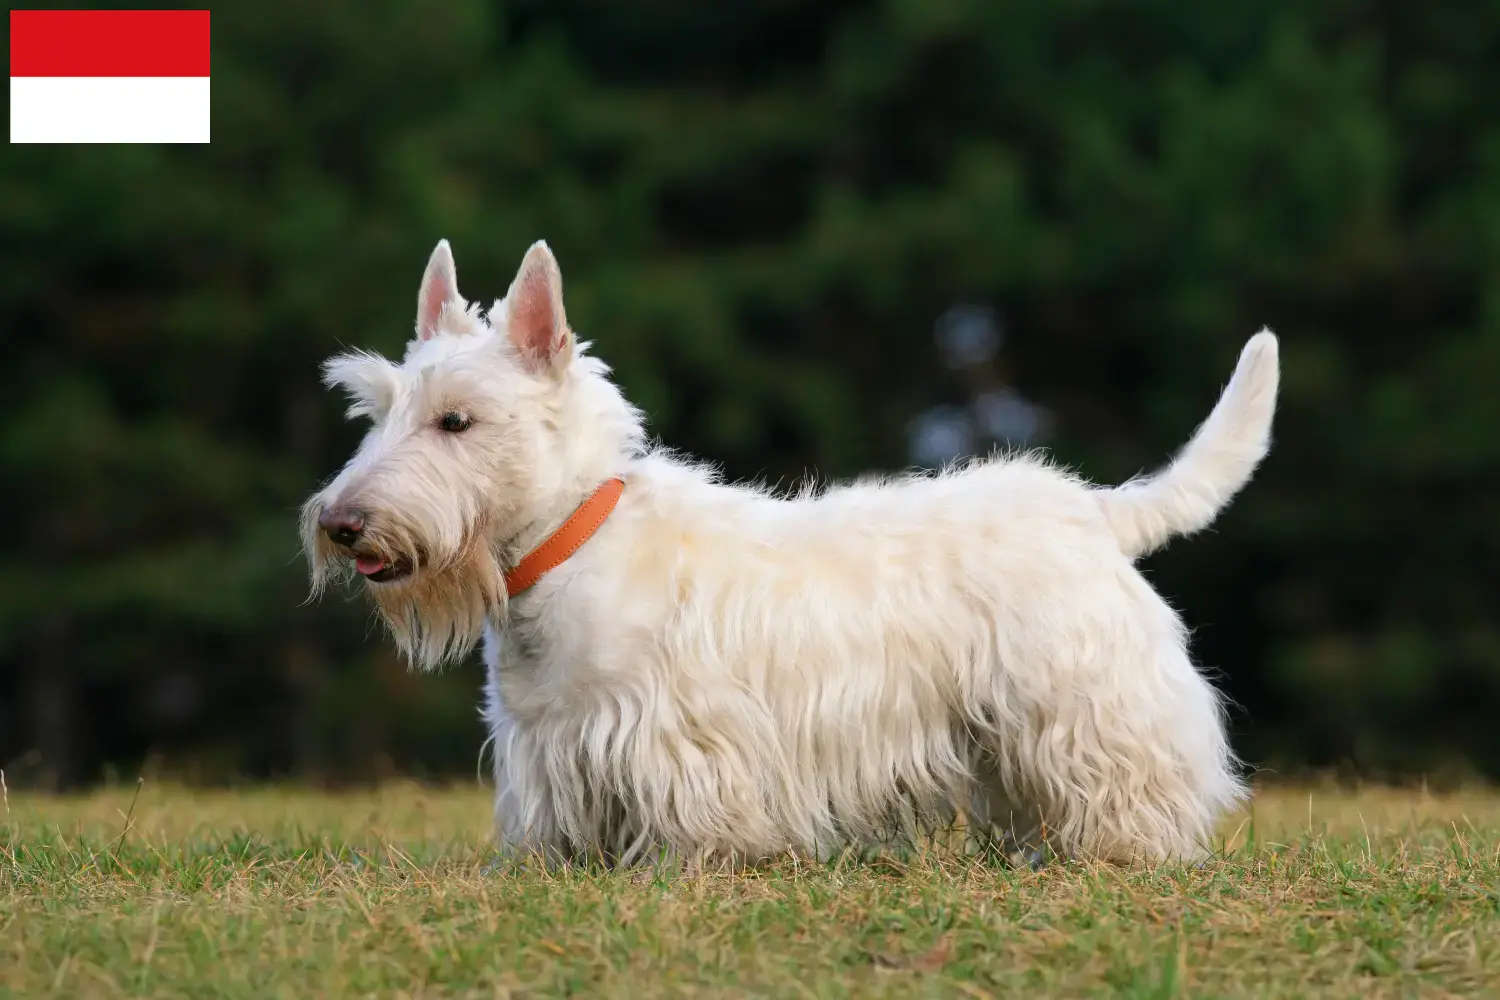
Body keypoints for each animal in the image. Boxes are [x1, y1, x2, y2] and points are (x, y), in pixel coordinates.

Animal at [301, 239, 1278, 869]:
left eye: (457, 420)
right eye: (375, 412)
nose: (342, 524)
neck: (568, 543)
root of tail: (1093, 511)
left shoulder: (677, 739)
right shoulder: (549, 747)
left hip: (1083, 706)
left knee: (1129, 780)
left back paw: (1124, 853)